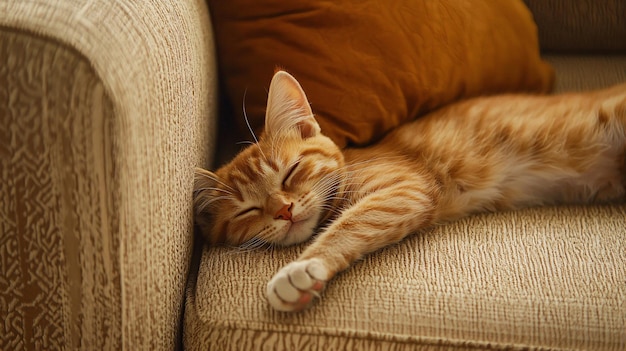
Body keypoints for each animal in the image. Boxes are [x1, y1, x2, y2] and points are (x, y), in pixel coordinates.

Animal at [195, 70, 624, 312]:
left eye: (291, 172)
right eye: (248, 210)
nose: (283, 210)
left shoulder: (406, 189)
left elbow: (347, 225)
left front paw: (301, 269)